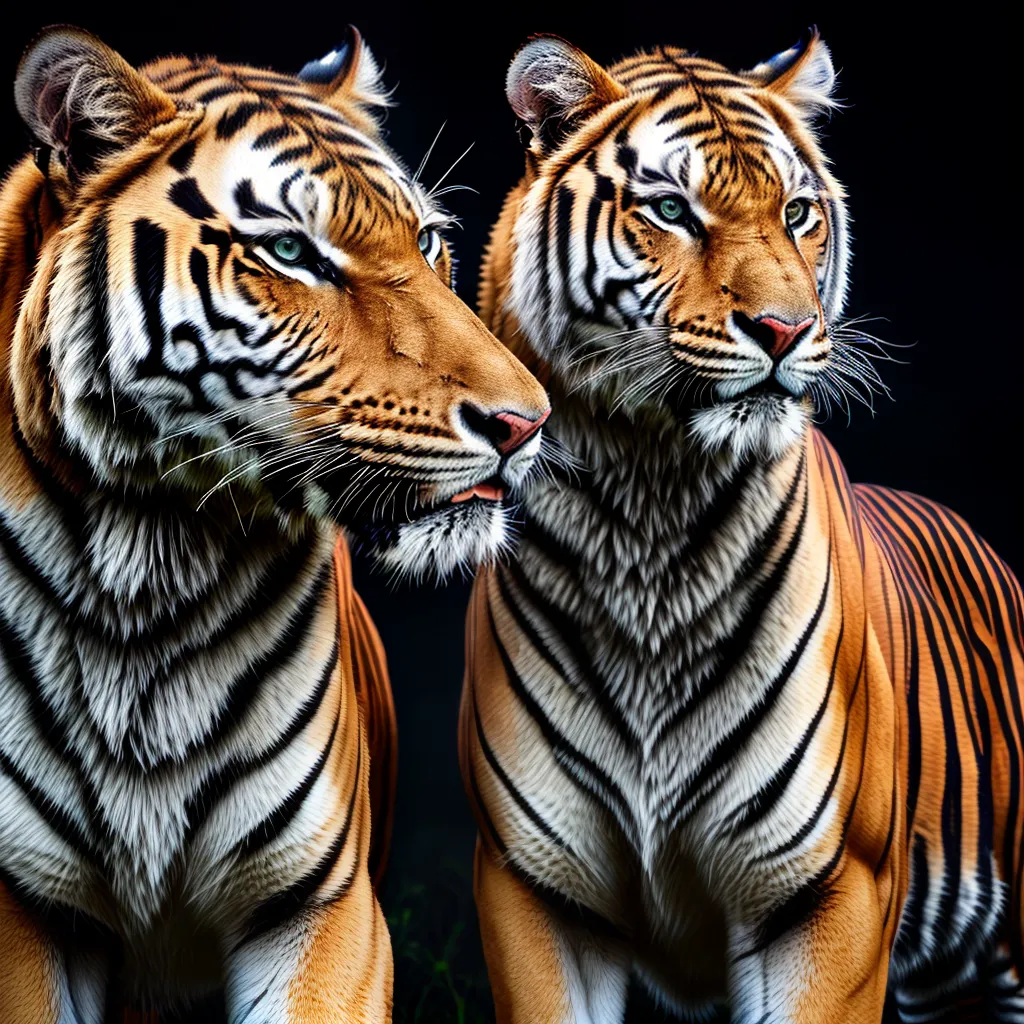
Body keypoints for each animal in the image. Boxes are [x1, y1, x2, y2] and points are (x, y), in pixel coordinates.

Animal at [0, 24, 549, 1024]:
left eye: (427, 240)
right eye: (292, 251)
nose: (527, 423)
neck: (149, 563)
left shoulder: (320, 907)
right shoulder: (24, 910)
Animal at [458, 31, 1024, 1024]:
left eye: (797, 212)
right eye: (671, 210)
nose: (785, 328)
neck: (652, 501)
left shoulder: (827, 888)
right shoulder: (539, 890)